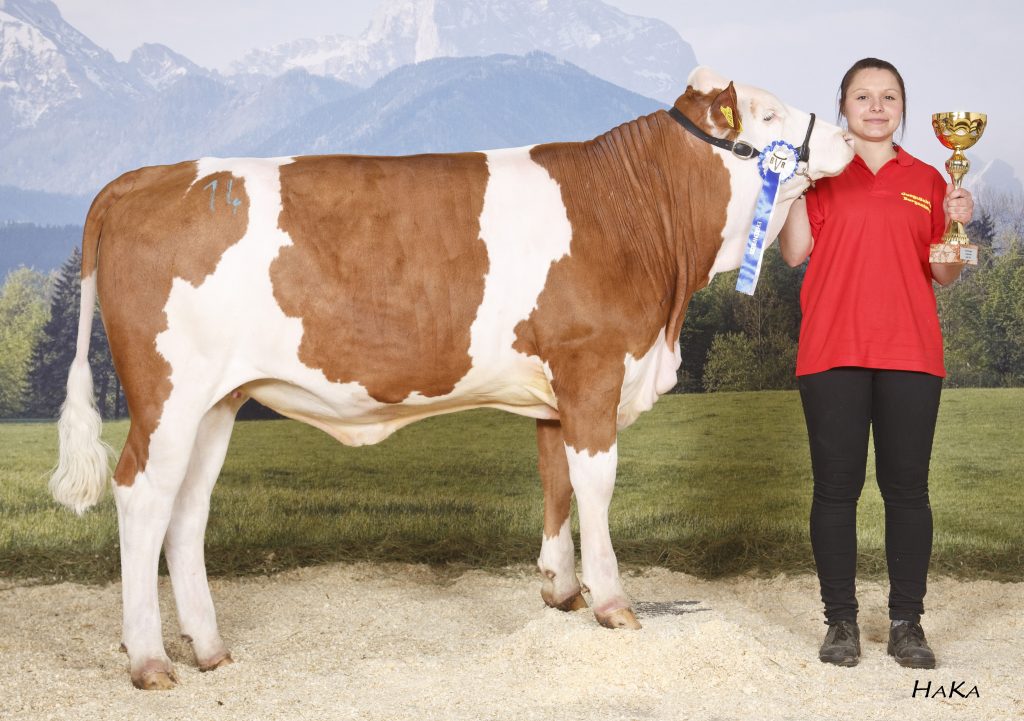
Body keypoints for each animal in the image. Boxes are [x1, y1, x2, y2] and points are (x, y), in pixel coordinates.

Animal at [48, 66, 851, 688]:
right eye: (769, 113)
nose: (844, 135)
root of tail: (147, 177)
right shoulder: (591, 369)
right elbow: (595, 486)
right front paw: (612, 601)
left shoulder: (556, 392)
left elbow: (556, 482)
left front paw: (560, 589)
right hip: (168, 394)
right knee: (141, 496)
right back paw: (150, 660)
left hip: (217, 401)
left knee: (185, 512)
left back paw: (211, 649)